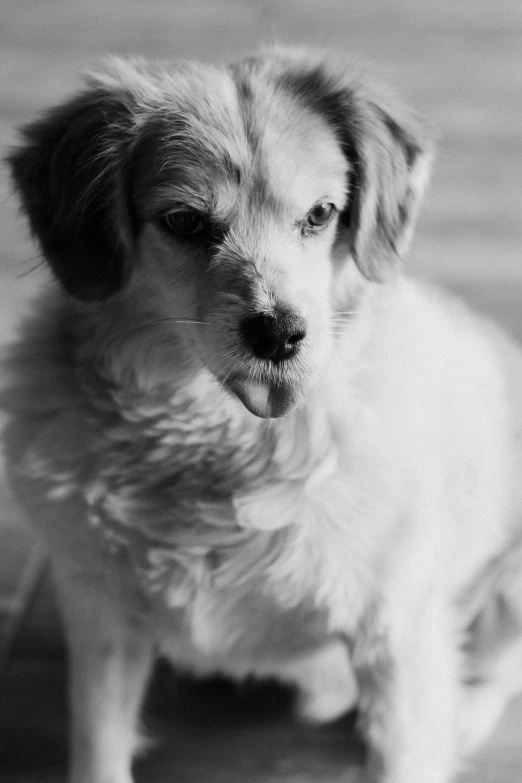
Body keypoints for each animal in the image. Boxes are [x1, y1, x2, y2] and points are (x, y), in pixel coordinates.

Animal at [3, 47, 520, 783]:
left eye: (321, 213)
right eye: (185, 221)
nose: (279, 335)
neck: (222, 444)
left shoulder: (396, 630)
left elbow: (406, 751)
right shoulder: (100, 614)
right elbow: (99, 745)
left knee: (500, 671)